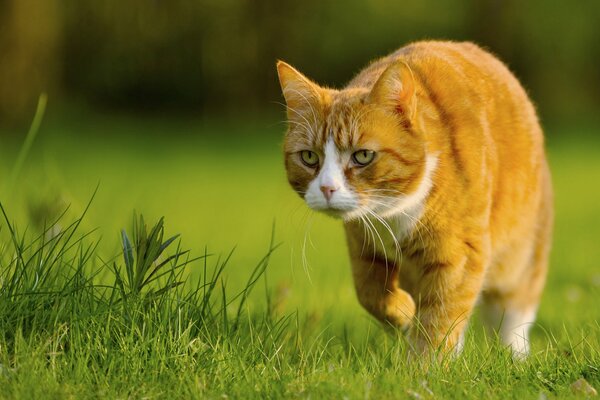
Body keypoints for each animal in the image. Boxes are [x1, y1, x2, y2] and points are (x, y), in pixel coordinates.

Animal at [276, 40, 552, 358]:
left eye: (363, 156)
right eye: (309, 157)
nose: (327, 188)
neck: (390, 215)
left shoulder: (459, 256)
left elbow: (438, 320)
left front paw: (424, 365)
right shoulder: (362, 247)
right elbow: (370, 294)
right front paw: (406, 315)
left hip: (521, 255)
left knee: (512, 314)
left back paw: (514, 356)